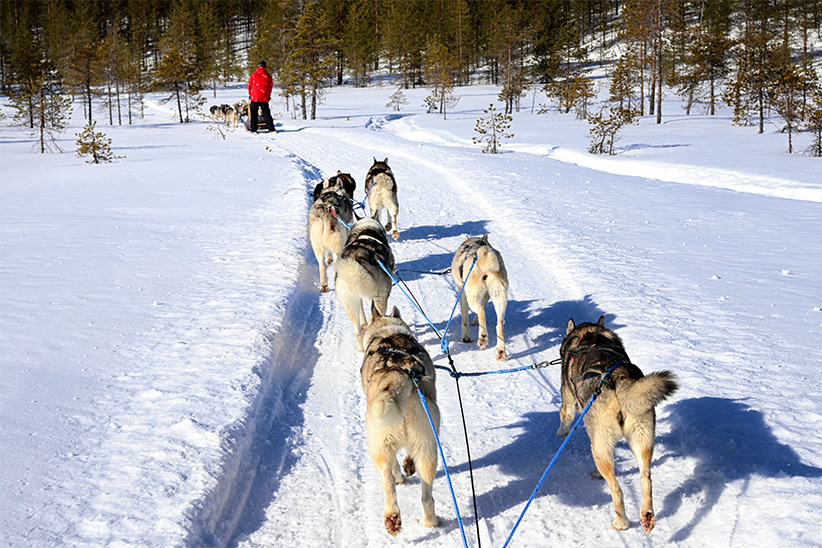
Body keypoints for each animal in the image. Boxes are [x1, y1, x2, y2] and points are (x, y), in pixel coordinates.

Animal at [362, 306, 440, 536]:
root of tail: (398, 375)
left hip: (386, 445)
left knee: (389, 476)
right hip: (424, 445)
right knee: (425, 495)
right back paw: (411, 519)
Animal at [560, 318, 684, 532]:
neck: (589, 333)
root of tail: (616, 378)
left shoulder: (568, 403)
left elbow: (564, 417)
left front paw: (561, 432)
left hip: (600, 448)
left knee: (616, 488)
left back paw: (621, 523)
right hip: (642, 438)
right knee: (646, 477)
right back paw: (647, 515)